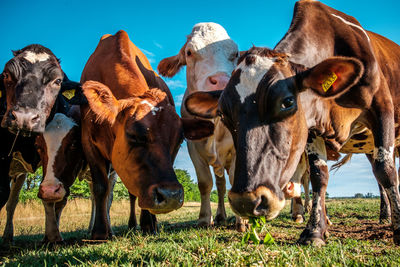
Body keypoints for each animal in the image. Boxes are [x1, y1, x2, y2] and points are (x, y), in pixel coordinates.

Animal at [79, 29, 214, 241]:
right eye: (134, 134)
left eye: (178, 140)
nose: (171, 196)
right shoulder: (88, 141)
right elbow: (101, 187)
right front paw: (100, 232)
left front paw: (148, 224)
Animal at [156, 23, 247, 231]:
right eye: (189, 52)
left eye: (236, 54)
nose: (222, 82)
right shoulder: (193, 147)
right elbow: (205, 183)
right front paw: (205, 218)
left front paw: (242, 220)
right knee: (220, 185)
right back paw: (220, 215)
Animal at [186, 0, 400, 247]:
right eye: (222, 114)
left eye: (287, 102)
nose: (247, 201)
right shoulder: (313, 129)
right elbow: (319, 177)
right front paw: (315, 231)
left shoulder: (382, 107)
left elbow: (386, 170)